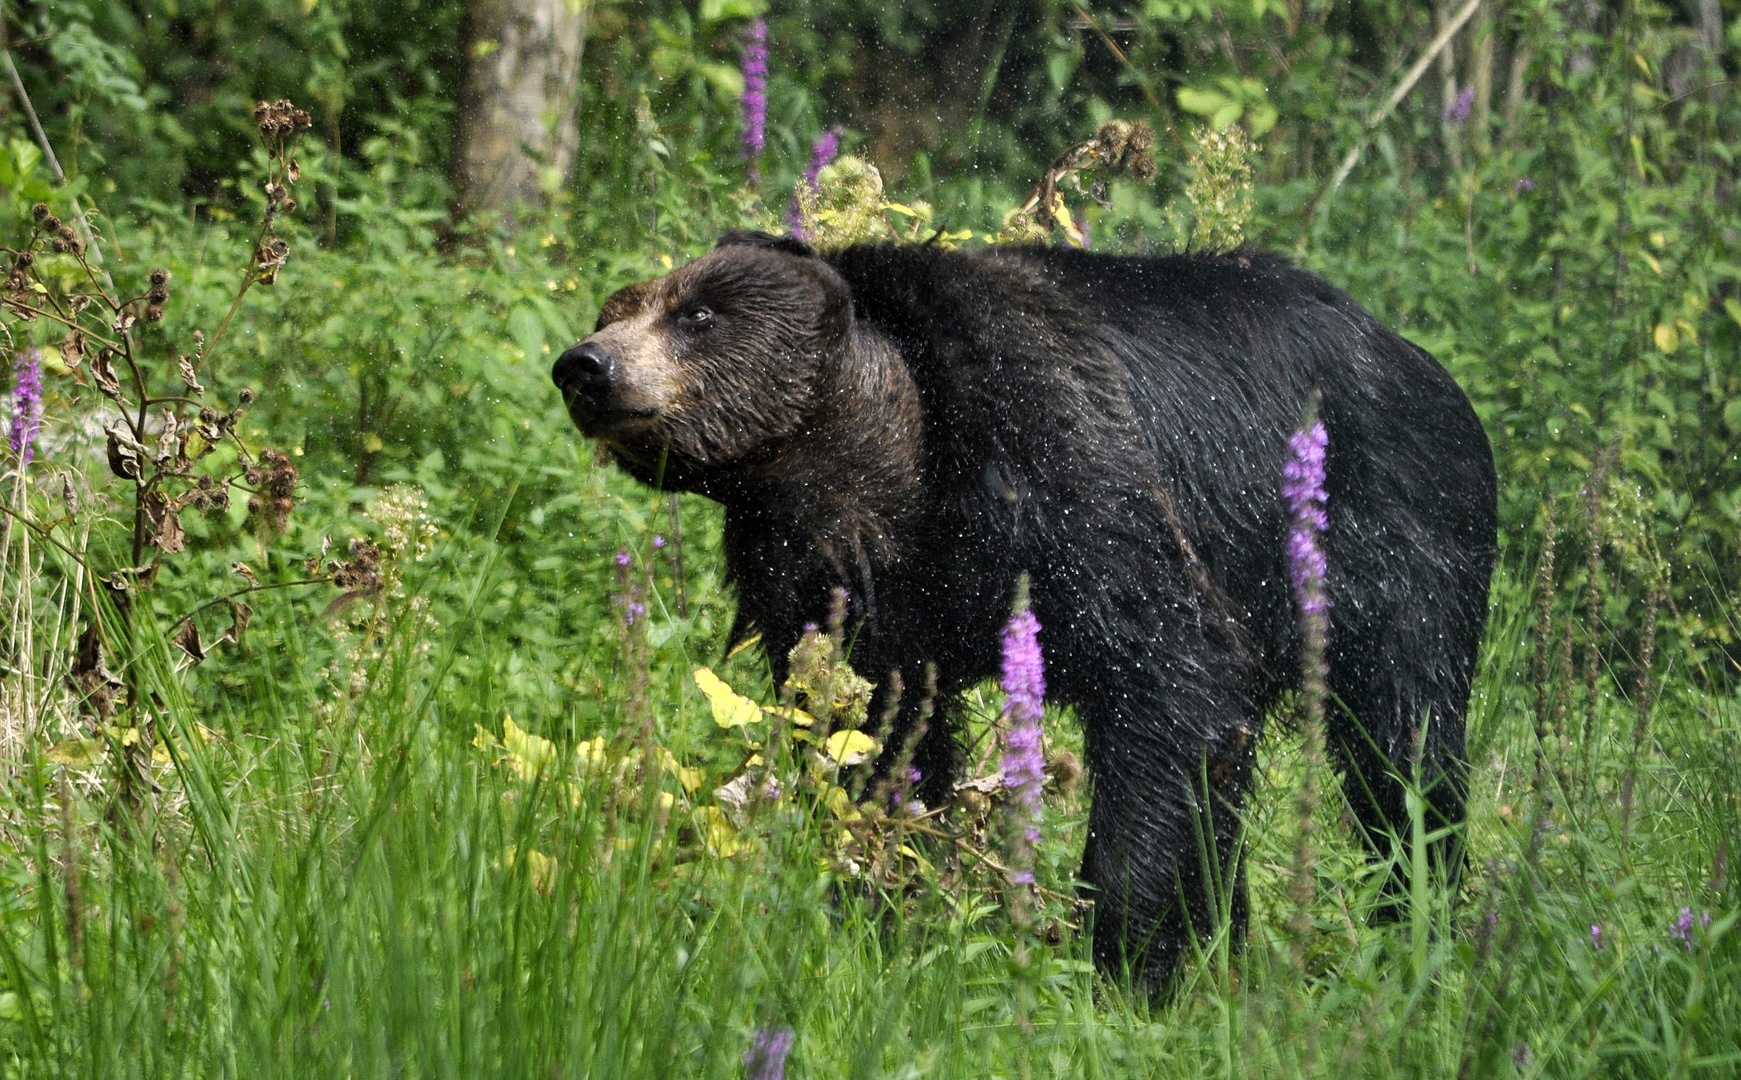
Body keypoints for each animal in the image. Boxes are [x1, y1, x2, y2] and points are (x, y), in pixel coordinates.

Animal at [553, 231, 1497, 989]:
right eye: (617, 306)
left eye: (697, 313)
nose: (583, 366)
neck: (887, 470)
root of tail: (1417, 354)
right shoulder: (828, 588)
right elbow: (875, 742)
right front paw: (885, 915)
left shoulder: (1060, 464)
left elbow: (1169, 679)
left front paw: (1119, 959)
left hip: (1391, 538)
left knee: (1401, 748)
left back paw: (1412, 929)